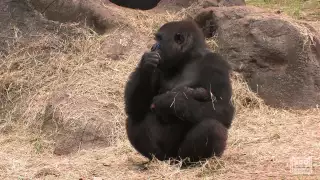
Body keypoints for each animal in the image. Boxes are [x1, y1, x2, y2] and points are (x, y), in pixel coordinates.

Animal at [124, 19, 234, 163]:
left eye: (159, 39)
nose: (153, 47)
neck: (187, 58)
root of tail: (172, 160)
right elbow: (133, 107)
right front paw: (145, 64)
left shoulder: (215, 62)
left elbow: (224, 108)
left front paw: (172, 101)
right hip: (165, 156)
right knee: (134, 118)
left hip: (180, 156)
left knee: (212, 126)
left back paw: (191, 162)